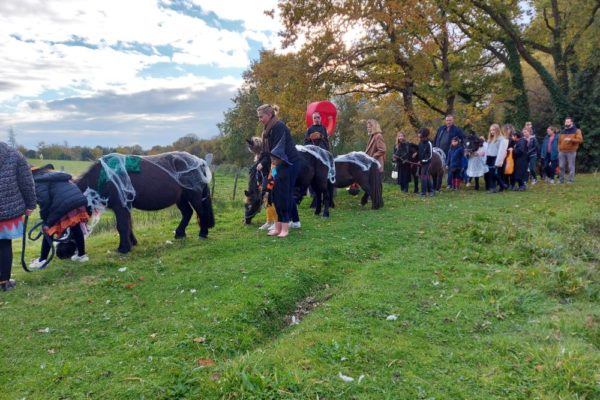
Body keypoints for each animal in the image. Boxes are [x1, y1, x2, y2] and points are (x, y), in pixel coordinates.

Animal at [76, 152, 214, 253]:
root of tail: (199, 162)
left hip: (194, 196)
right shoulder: (125, 206)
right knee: (187, 213)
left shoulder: (121, 207)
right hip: (181, 198)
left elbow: (122, 226)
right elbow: (128, 224)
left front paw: (123, 248)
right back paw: (180, 233)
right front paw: (132, 243)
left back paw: (203, 234)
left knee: (201, 213)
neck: (106, 175)